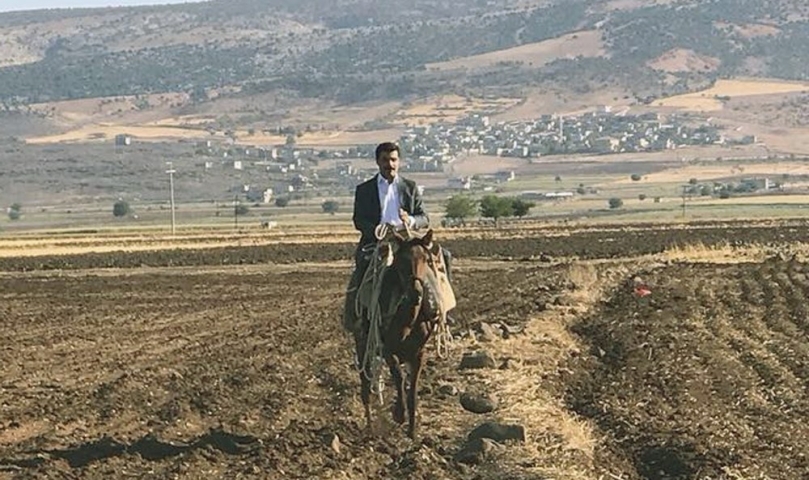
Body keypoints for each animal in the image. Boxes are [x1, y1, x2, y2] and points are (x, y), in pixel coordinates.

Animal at [352, 229, 442, 438]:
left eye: (426, 259)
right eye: (402, 261)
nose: (416, 293)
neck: (407, 322)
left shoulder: (418, 354)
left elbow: (412, 390)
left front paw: (412, 431)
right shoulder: (387, 350)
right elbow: (399, 378)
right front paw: (399, 413)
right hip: (362, 346)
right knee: (365, 386)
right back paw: (370, 425)